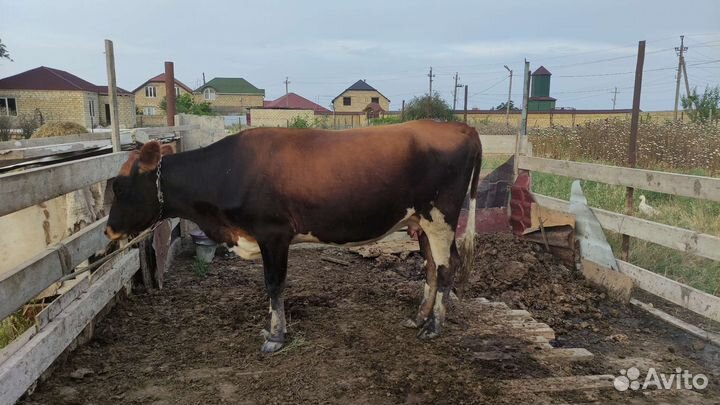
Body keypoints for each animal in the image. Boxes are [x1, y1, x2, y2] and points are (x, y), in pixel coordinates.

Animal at [105, 120, 482, 353]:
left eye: (119, 186)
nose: (108, 230)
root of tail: (459, 126)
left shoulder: (273, 233)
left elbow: (274, 285)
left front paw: (275, 336)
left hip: (441, 217)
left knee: (446, 267)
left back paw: (433, 326)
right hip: (421, 220)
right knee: (432, 267)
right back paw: (419, 316)